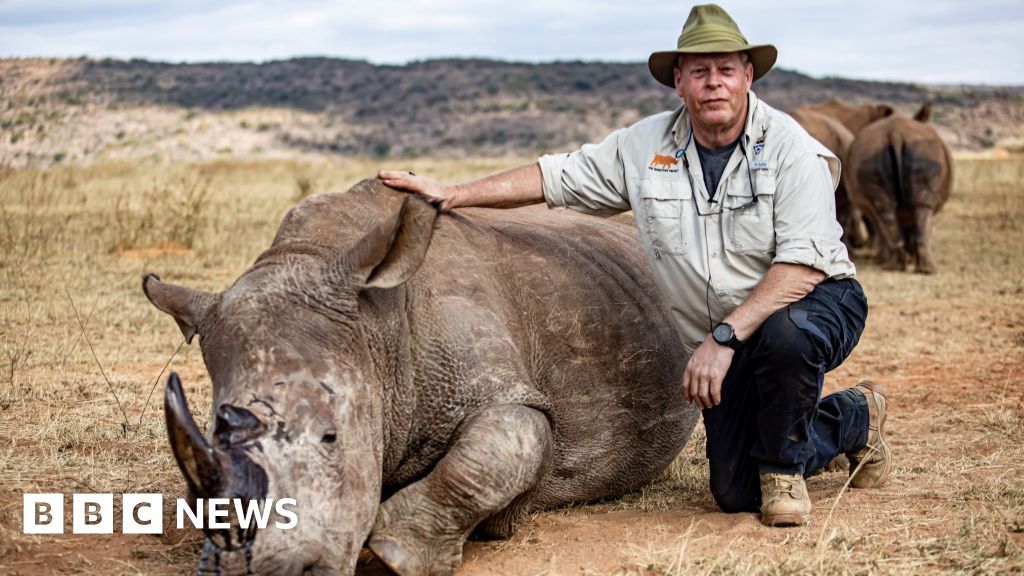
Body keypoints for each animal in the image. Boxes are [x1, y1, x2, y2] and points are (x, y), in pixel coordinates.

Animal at [143, 179, 698, 575]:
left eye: (331, 437)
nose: (254, 571)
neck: (376, 332)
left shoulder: (509, 391)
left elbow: (494, 451)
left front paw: (392, 553)